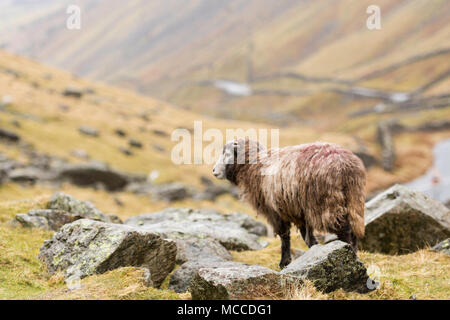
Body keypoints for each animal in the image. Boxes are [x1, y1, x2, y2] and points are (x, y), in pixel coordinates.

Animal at [214, 139, 366, 268]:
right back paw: (355, 254)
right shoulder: (299, 211)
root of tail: (345, 166)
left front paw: (284, 262)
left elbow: (284, 236)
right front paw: (313, 251)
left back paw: (348, 252)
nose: (214, 171)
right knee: (353, 231)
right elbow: (307, 237)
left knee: (344, 230)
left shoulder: (275, 212)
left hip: (327, 204)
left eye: (226, 154)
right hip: (354, 201)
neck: (255, 164)